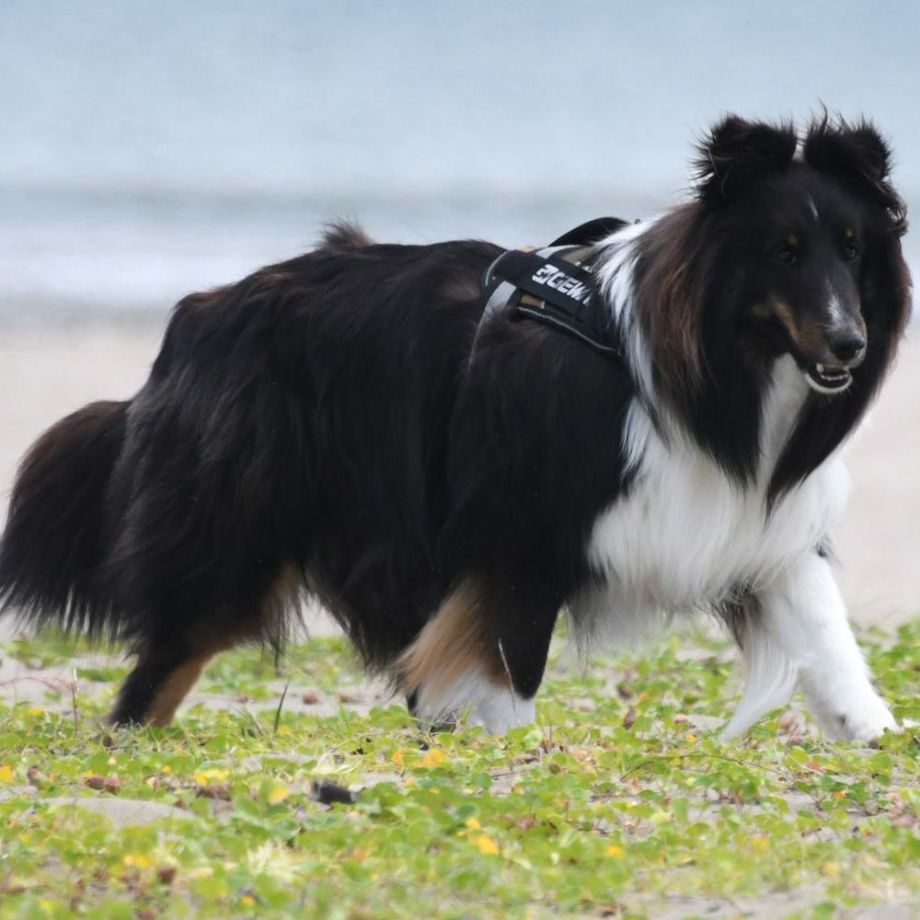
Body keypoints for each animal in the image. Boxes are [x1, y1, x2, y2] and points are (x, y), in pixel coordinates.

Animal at [0, 115, 910, 740]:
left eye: (853, 250)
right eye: (784, 250)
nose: (850, 344)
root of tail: (197, 313)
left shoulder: (749, 521)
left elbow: (827, 635)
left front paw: (874, 736)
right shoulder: (521, 533)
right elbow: (508, 672)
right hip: (241, 534)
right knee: (157, 671)